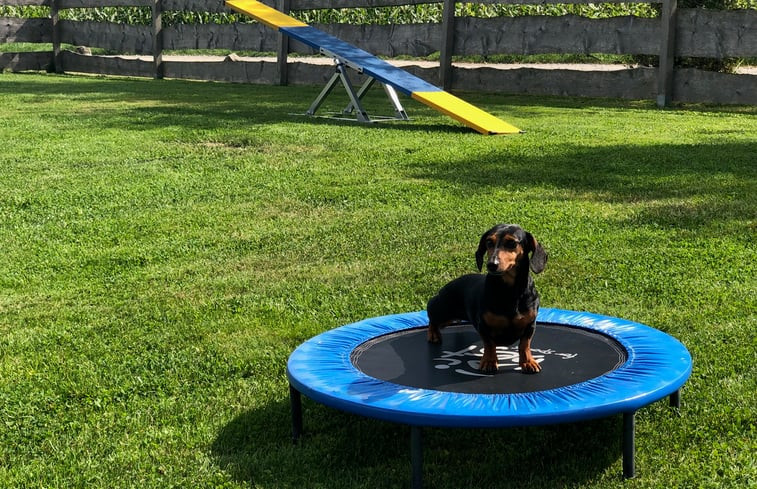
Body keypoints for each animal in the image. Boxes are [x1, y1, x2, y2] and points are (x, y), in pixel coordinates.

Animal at [428, 225, 548, 374]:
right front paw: (489, 361)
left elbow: (525, 344)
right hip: (443, 311)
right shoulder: (483, 325)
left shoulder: (530, 324)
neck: (509, 291)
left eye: (512, 243)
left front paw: (528, 362)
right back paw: (433, 334)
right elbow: (489, 344)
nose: (492, 264)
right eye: (489, 242)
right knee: (431, 316)